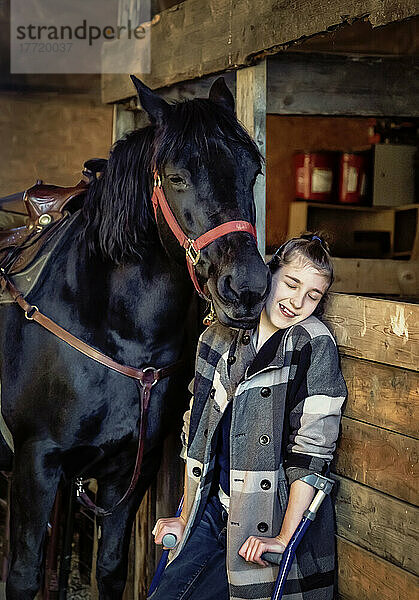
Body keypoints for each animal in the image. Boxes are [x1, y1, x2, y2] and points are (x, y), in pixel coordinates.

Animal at [0, 77, 270, 596]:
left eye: (252, 171)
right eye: (177, 176)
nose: (246, 287)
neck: (117, 334)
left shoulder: (129, 470)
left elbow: (110, 568)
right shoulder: (36, 464)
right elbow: (22, 575)